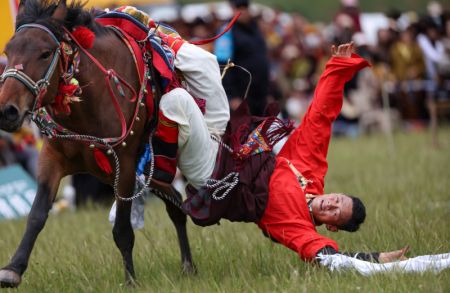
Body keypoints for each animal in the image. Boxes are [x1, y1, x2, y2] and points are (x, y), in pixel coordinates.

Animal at [0, 0, 194, 288]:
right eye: (8, 51)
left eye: (45, 54)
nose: (7, 111)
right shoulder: (52, 158)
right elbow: (36, 215)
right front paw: (13, 268)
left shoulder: (124, 165)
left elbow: (122, 229)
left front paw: (130, 281)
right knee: (176, 202)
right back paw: (188, 264)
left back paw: (188, 264)